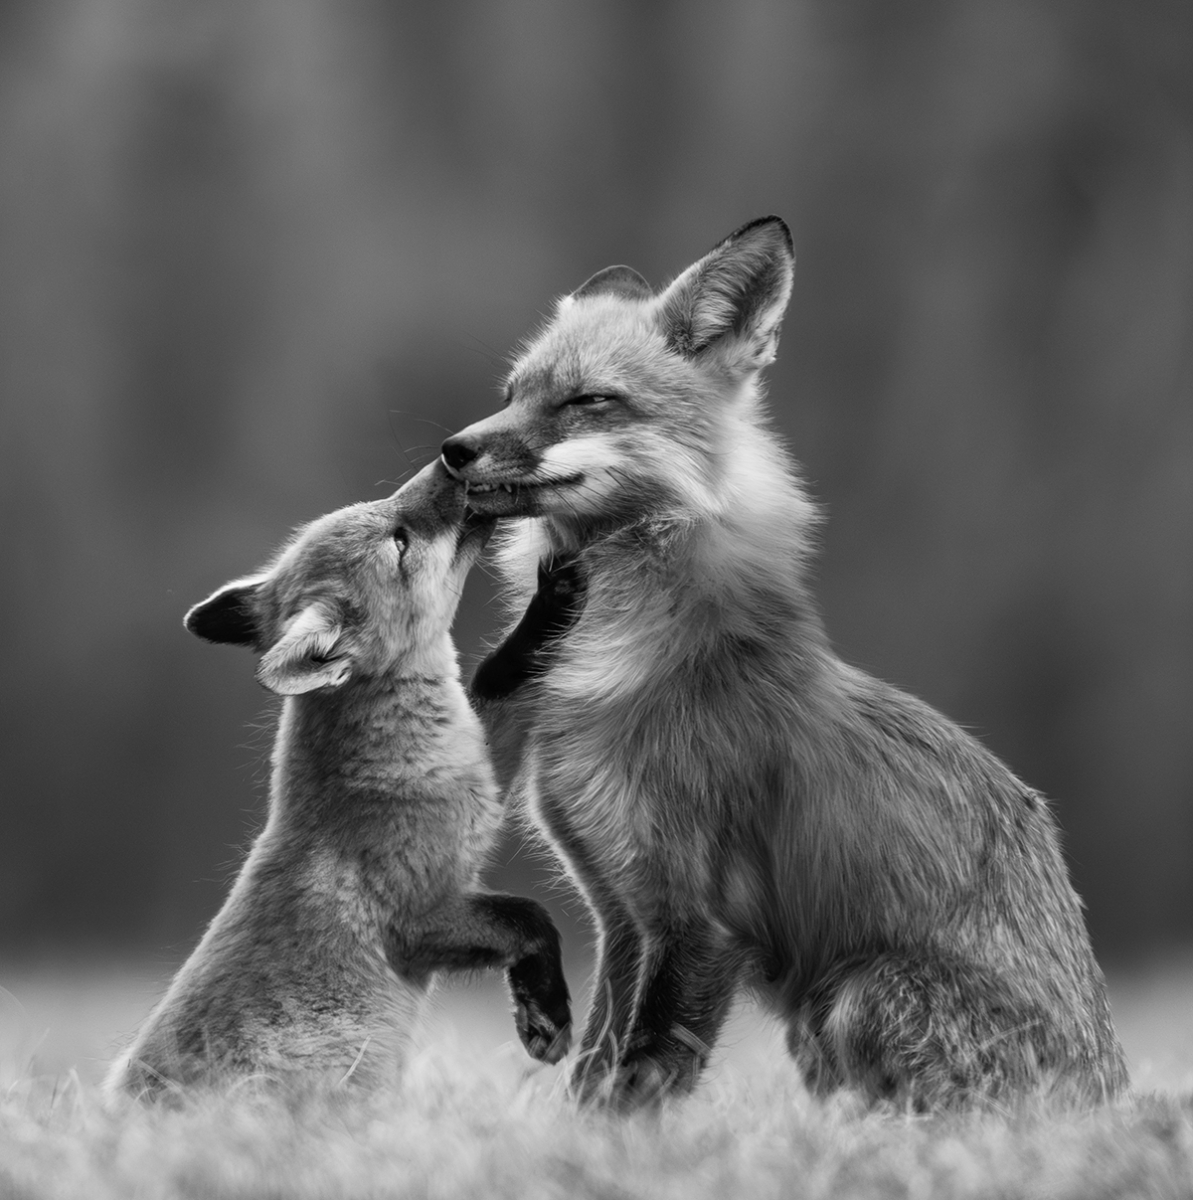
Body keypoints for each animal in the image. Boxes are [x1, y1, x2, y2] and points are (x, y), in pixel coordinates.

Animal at [105, 460, 570, 1099]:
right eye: (400, 542)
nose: (448, 460)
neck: (390, 770)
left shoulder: (483, 769)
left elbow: (506, 673)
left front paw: (555, 597)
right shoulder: (425, 919)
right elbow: (531, 918)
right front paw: (547, 1016)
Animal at [439, 217, 1128, 1111]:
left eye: (587, 399)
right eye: (511, 392)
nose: (452, 450)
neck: (612, 660)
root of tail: (1107, 1096)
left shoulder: (704, 918)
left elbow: (639, 1082)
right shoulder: (621, 912)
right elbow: (593, 1074)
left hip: (857, 993)